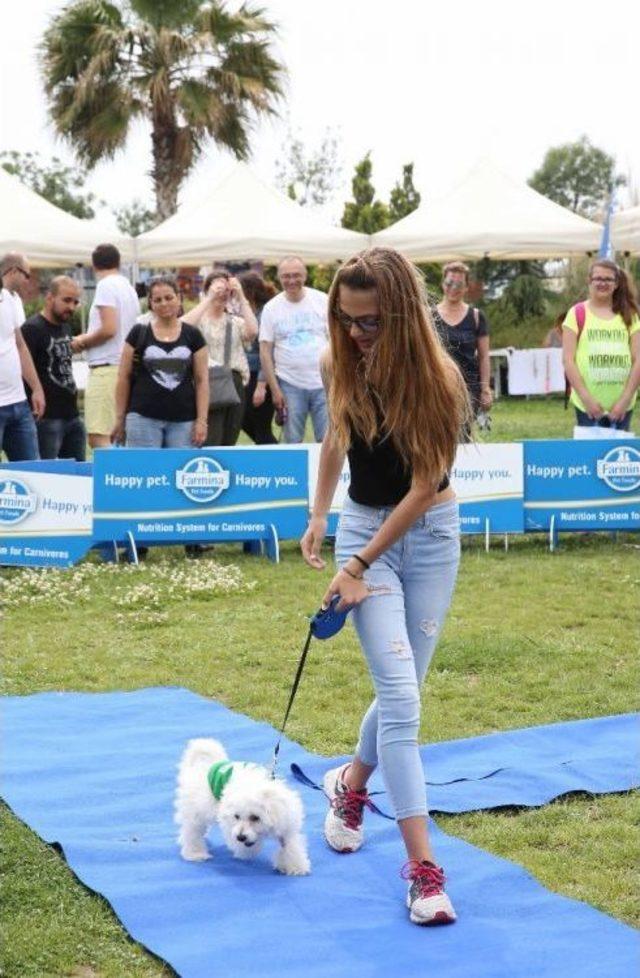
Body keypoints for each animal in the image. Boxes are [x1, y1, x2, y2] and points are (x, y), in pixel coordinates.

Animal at [172, 736, 308, 872]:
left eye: (255, 817)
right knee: (191, 830)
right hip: (196, 809)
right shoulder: (229, 823)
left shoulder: (287, 822)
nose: (240, 837)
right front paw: (246, 852)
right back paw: (195, 853)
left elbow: (290, 845)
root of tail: (203, 765)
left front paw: (294, 865)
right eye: (236, 816)